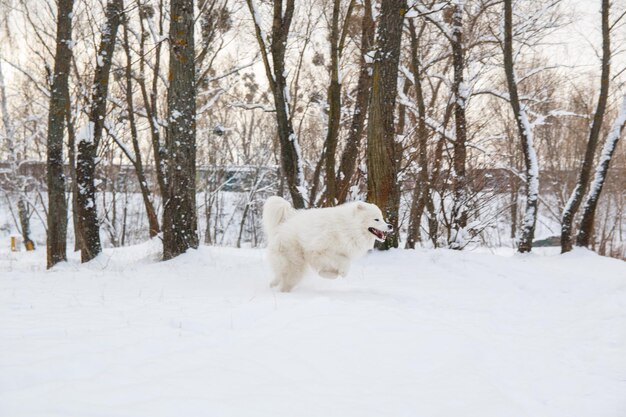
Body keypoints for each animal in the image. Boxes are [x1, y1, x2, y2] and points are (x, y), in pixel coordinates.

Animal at [260, 196, 390, 290]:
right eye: (376, 219)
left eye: (382, 218)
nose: (390, 226)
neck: (348, 227)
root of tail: (284, 223)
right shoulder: (320, 251)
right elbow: (345, 262)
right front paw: (341, 273)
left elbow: (330, 269)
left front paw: (328, 274)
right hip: (294, 263)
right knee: (283, 277)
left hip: (296, 268)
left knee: (283, 278)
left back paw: (274, 285)